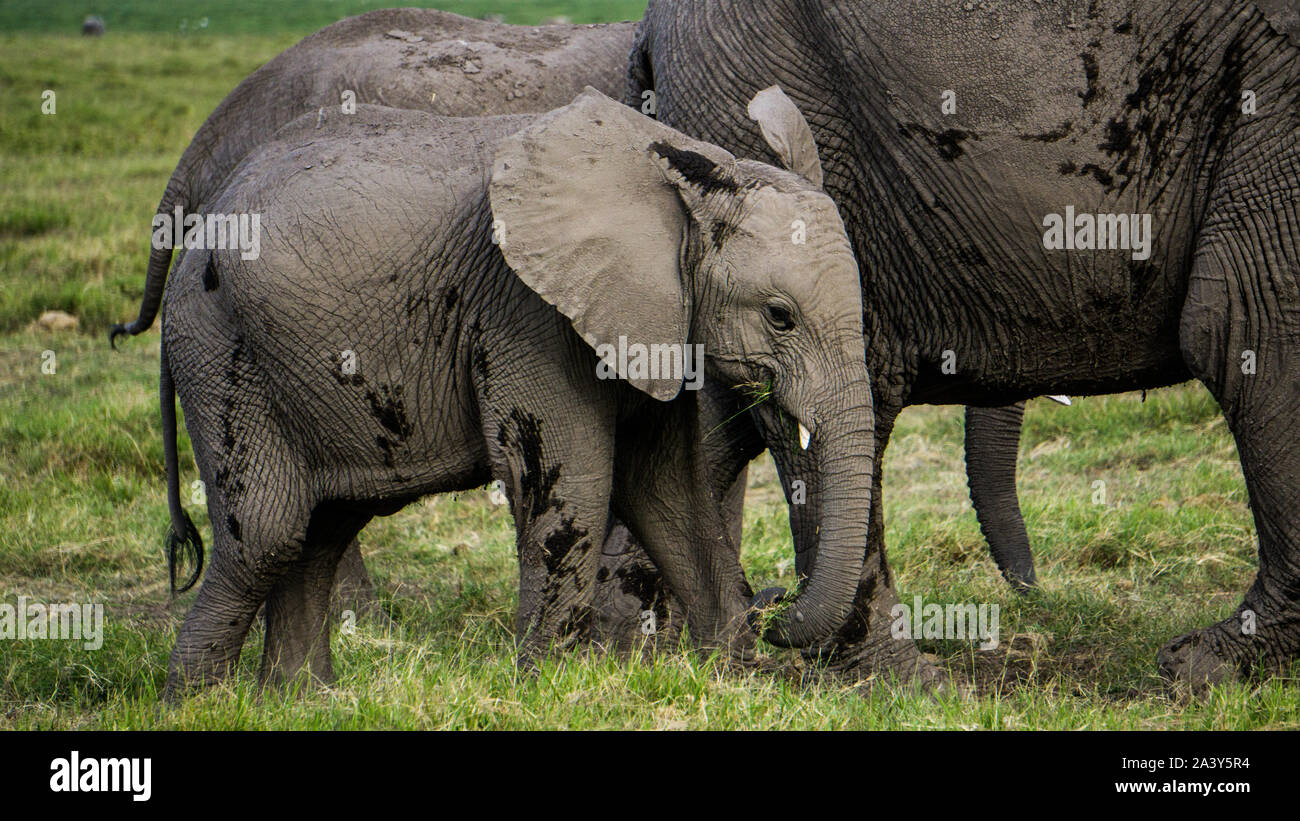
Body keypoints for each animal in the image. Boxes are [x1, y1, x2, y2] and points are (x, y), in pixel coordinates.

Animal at [159, 88, 873, 691]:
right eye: (780, 316)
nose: (774, 604)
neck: (681, 176)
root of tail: (189, 239)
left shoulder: (651, 319)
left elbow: (667, 488)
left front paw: (735, 678)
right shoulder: (528, 312)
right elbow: (576, 486)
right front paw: (549, 688)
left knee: (322, 527)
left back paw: (302, 699)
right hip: (219, 345)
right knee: (267, 534)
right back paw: (198, 705)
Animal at [629, 1, 1300, 685]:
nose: (771, 607)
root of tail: (650, 27)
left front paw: (1207, 661)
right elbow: (1247, 330)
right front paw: (1202, 669)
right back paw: (903, 680)